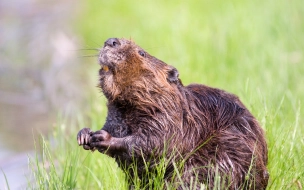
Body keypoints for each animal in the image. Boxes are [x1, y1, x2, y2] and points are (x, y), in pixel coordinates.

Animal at [78, 37, 268, 189]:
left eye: (142, 53)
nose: (111, 41)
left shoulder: (170, 118)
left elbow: (156, 143)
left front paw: (103, 138)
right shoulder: (116, 114)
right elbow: (113, 126)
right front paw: (85, 134)